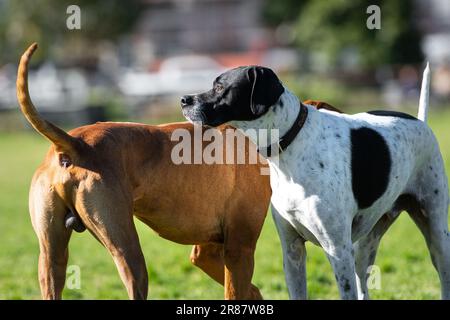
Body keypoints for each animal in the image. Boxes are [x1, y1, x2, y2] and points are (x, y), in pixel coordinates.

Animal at [16, 44, 270, 300]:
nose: (185, 100)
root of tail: (74, 144)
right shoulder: (239, 250)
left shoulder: (207, 253)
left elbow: (252, 289)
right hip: (128, 253)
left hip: (51, 257)